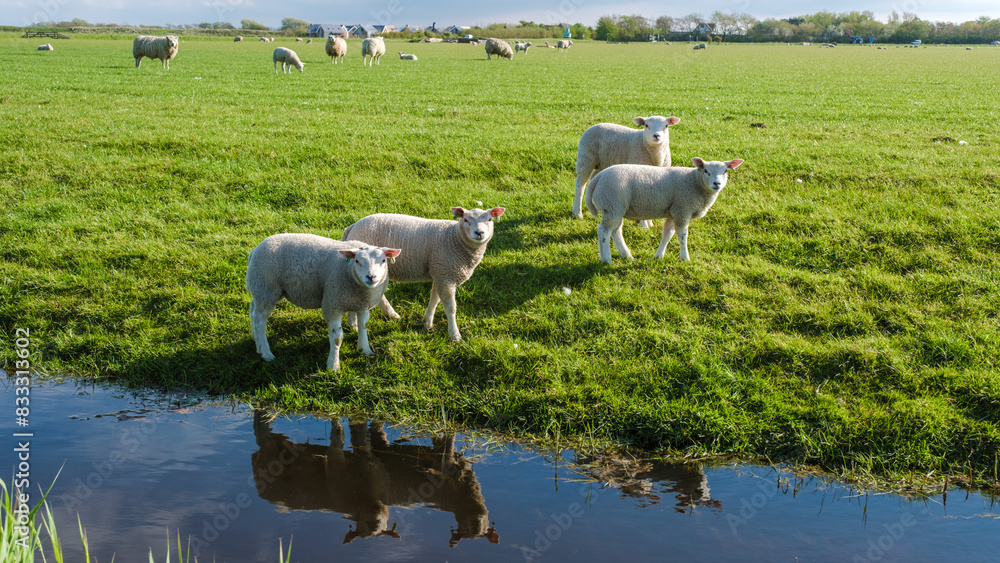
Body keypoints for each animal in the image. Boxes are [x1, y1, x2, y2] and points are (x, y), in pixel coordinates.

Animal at [245, 233, 401, 371]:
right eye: (357, 261)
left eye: (383, 261)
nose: (371, 277)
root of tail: (254, 251)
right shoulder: (332, 304)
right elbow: (337, 338)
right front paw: (333, 366)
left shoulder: (362, 304)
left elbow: (364, 326)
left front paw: (365, 350)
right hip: (266, 288)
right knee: (260, 319)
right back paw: (266, 353)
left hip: (261, 290)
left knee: (253, 311)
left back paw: (256, 340)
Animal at [342, 207, 505, 342]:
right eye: (465, 220)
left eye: (490, 219)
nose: (479, 233)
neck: (454, 238)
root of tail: (352, 227)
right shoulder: (445, 274)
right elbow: (450, 307)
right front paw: (455, 335)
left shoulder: (440, 273)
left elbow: (434, 299)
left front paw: (427, 322)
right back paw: (360, 322)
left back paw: (382, 317)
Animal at [586, 158, 743, 263]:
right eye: (706, 171)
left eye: (725, 171)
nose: (717, 183)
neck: (695, 182)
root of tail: (598, 177)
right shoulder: (682, 210)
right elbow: (682, 236)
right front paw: (685, 258)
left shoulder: (673, 212)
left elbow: (667, 234)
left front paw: (659, 256)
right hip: (612, 205)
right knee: (604, 231)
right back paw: (607, 260)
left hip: (616, 208)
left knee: (616, 231)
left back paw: (627, 256)